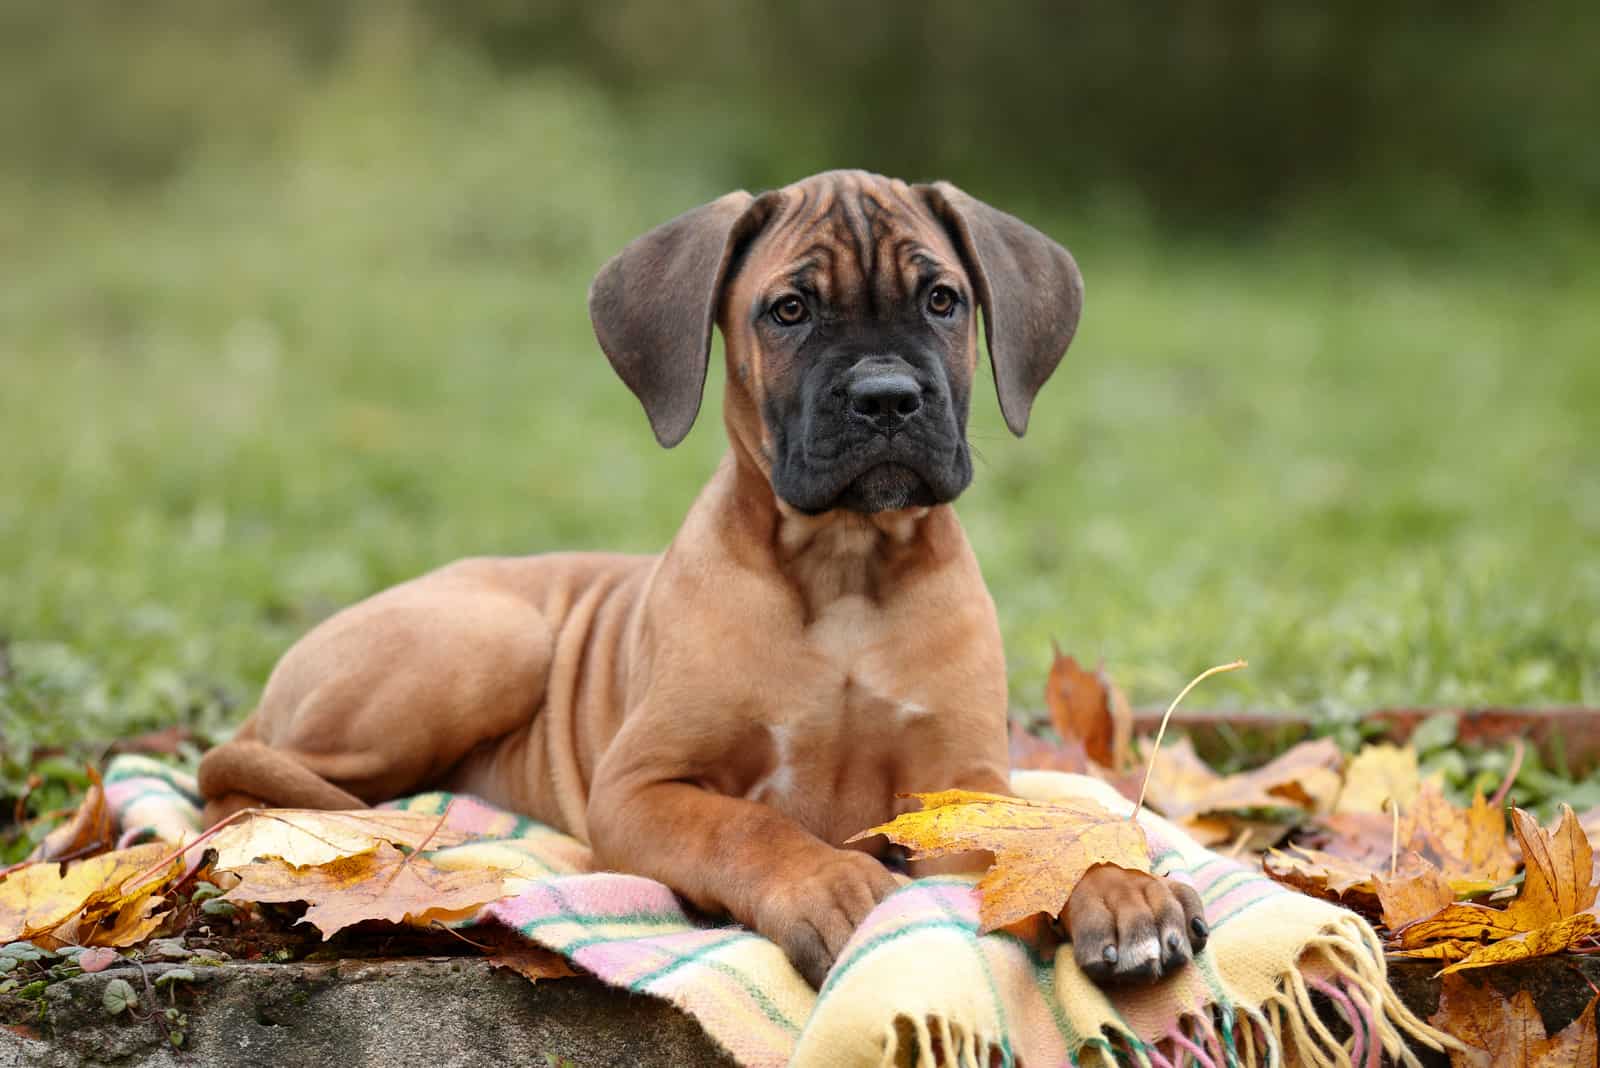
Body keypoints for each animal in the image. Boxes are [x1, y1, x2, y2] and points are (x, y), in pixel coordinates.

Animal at [196, 173, 1203, 984]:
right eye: (789, 310)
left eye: (944, 299)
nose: (886, 398)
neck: (844, 568)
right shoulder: (641, 787)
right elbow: (747, 827)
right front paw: (831, 883)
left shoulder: (959, 782)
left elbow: (1035, 826)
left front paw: (1121, 890)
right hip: (493, 641)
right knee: (237, 783)